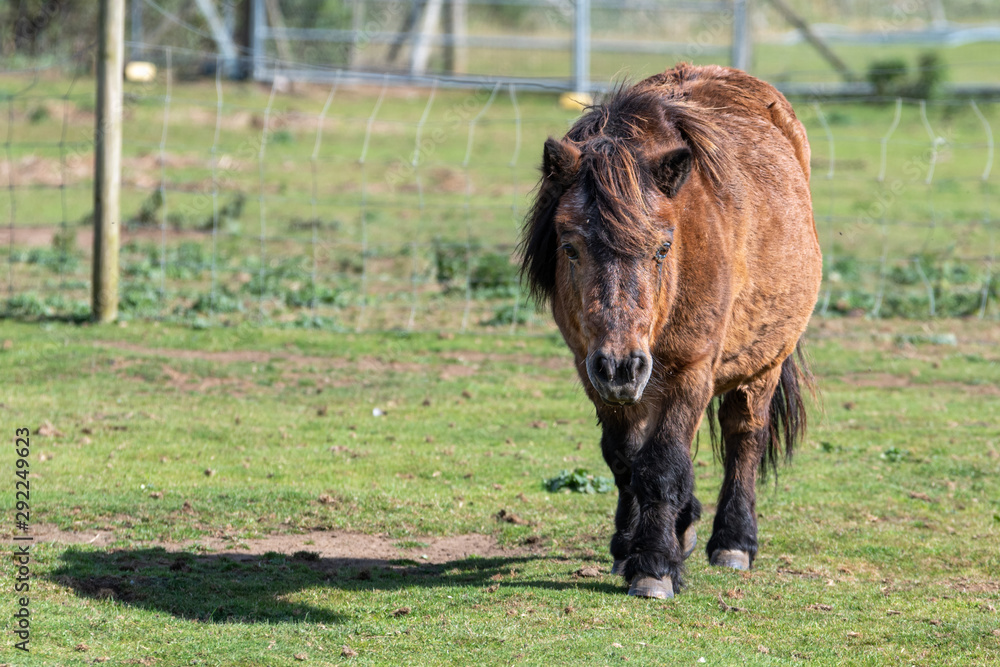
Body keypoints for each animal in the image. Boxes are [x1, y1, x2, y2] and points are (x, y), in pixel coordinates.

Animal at [520, 64, 822, 599]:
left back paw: (733, 542)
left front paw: (655, 567)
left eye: (662, 247)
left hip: (761, 365)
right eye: (570, 247)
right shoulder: (593, 373)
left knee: (744, 437)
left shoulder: (689, 369)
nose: (621, 365)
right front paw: (632, 548)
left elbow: (661, 466)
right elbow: (625, 460)